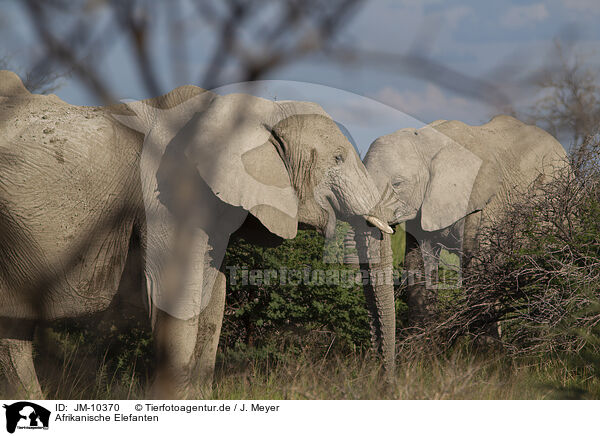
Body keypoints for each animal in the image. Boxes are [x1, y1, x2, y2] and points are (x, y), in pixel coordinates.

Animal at [350, 114, 564, 362]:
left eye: (398, 184)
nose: (380, 361)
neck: (426, 142)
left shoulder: (485, 204)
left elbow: (478, 267)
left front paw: (487, 358)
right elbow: (417, 263)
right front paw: (420, 353)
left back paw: (545, 349)